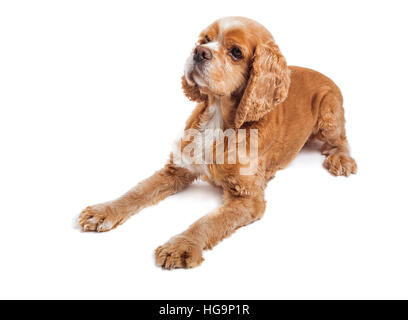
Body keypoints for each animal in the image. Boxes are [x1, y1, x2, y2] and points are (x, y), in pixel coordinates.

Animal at [78, 16, 356, 268]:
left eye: (236, 52)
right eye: (205, 40)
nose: (199, 51)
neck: (218, 118)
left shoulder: (247, 197)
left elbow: (208, 221)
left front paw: (181, 245)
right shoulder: (177, 168)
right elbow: (137, 191)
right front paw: (104, 210)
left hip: (329, 113)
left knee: (342, 139)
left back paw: (341, 160)